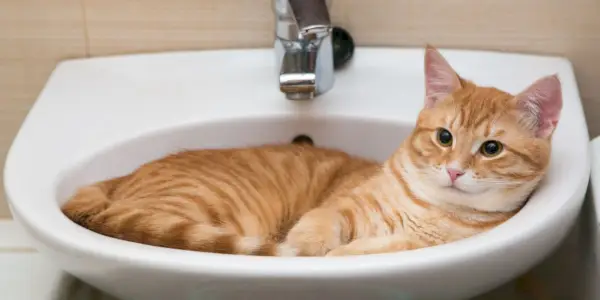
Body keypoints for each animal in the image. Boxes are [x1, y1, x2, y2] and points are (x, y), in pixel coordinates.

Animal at [58, 45, 560, 258]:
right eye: (444, 137)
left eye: (491, 148)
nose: (454, 171)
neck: (429, 207)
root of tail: (114, 185)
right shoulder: (344, 206)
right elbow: (320, 225)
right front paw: (307, 246)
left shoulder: (416, 245)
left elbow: (365, 251)